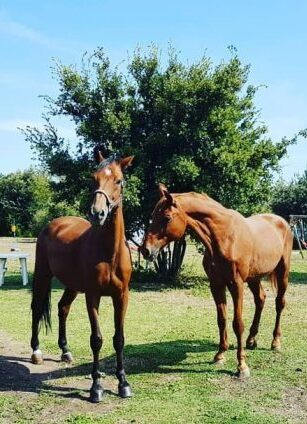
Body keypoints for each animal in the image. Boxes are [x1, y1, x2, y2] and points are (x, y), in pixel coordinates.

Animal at [30, 152, 135, 400]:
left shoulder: (121, 297)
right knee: (37, 308)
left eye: (119, 181)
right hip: (43, 275)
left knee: (62, 308)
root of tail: (53, 224)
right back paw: (36, 351)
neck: (109, 252)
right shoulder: (93, 296)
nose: (97, 213)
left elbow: (119, 339)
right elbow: (96, 339)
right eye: (93, 178)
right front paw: (96, 387)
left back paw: (65, 351)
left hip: (72, 285)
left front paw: (123, 383)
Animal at [142, 185, 294, 378]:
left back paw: (275, 342)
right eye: (153, 215)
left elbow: (237, 323)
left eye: (167, 217)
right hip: (254, 277)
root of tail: (282, 222)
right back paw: (251, 340)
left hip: (283, 273)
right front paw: (220, 354)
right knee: (260, 299)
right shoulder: (216, 284)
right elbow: (221, 319)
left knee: (279, 303)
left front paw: (242, 366)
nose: (145, 250)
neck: (224, 237)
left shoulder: (236, 284)